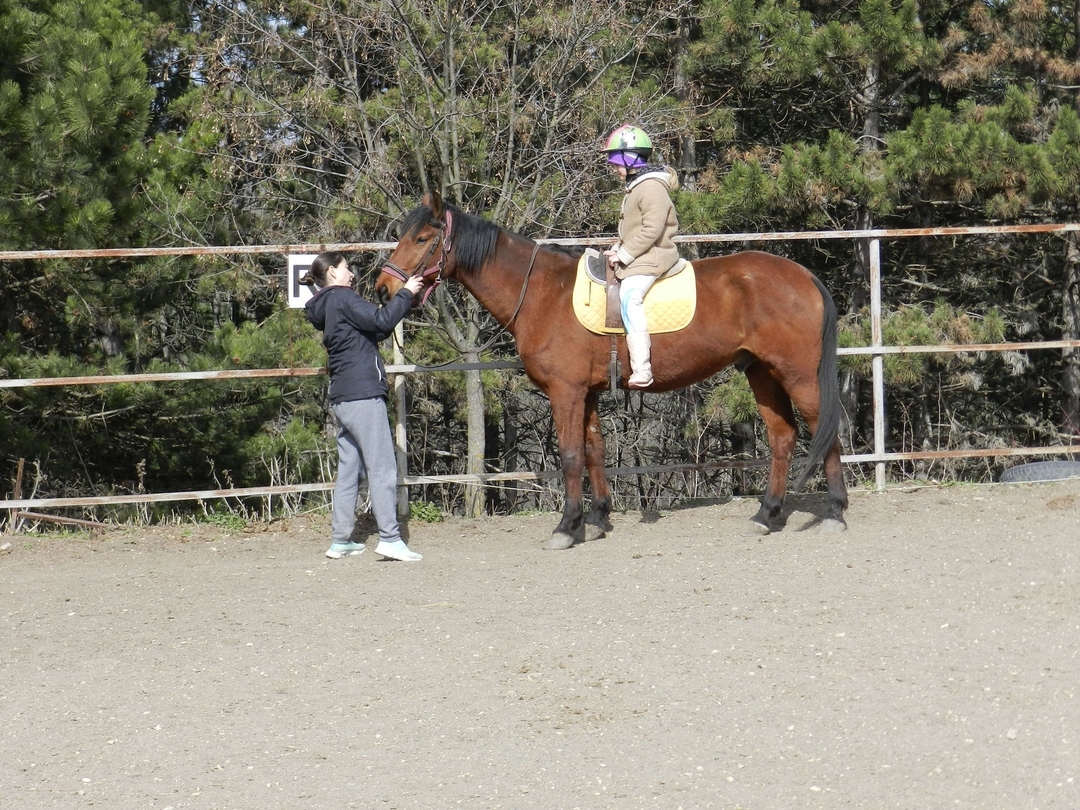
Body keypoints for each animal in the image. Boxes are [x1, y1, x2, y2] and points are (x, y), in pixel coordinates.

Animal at [380, 190, 851, 548]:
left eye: (423, 237)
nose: (383, 288)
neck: (543, 293)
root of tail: (803, 276)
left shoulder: (565, 391)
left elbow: (571, 455)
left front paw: (567, 526)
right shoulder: (585, 392)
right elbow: (594, 450)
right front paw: (597, 518)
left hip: (798, 376)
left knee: (825, 433)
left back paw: (835, 513)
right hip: (762, 373)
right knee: (783, 438)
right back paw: (767, 514)